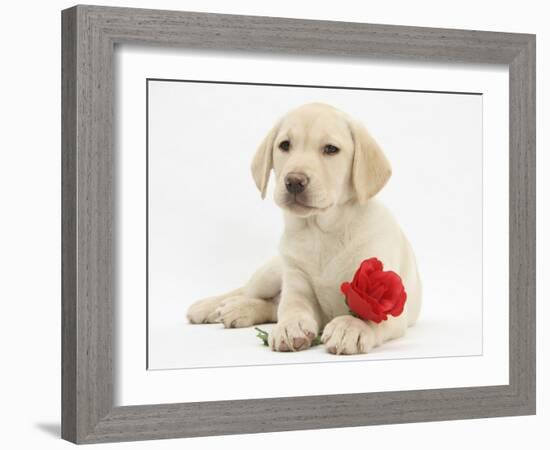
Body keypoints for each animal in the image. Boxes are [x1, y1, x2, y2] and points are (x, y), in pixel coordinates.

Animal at [187, 103, 422, 356]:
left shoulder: (390, 301)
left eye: (331, 149)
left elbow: (368, 317)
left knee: (270, 305)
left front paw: (350, 327)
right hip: (272, 272)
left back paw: (237, 309)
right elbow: (292, 306)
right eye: (284, 145)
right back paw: (210, 306)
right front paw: (291, 326)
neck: (320, 231)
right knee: (250, 292)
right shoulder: (296, 282)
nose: (294, 181)